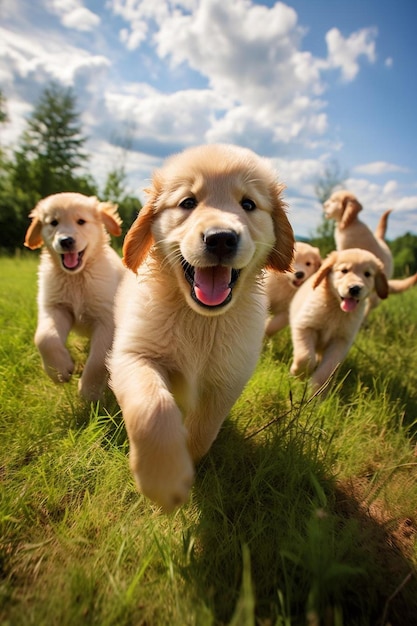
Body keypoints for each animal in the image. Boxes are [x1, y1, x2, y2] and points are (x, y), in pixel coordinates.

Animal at [23, 191, 124, 400]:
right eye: (53, 223)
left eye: (81, 221)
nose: (66, 241)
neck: (76, 277)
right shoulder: (55, 307)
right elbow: (44, 338)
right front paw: (59, 370)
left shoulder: (106, 319)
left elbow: (98, 359)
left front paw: (89, 393)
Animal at [109, 144, 294, 510]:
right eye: (187, 202)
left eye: (248, 204)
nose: (221, 238)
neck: (200, 319)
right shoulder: (134, 355)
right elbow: (153, 408)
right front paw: (163, 478)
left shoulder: (229, 376)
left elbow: (204, 429)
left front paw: (187, 464)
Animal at [290, 247, 386, 390]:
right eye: (344, 271)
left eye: (367, 274)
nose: (354, 288)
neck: (336, 309)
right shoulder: (305, 326)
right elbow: (305, 357)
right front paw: (298, 374)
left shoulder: (341, 341)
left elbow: (327, 370)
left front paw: (317, 391)